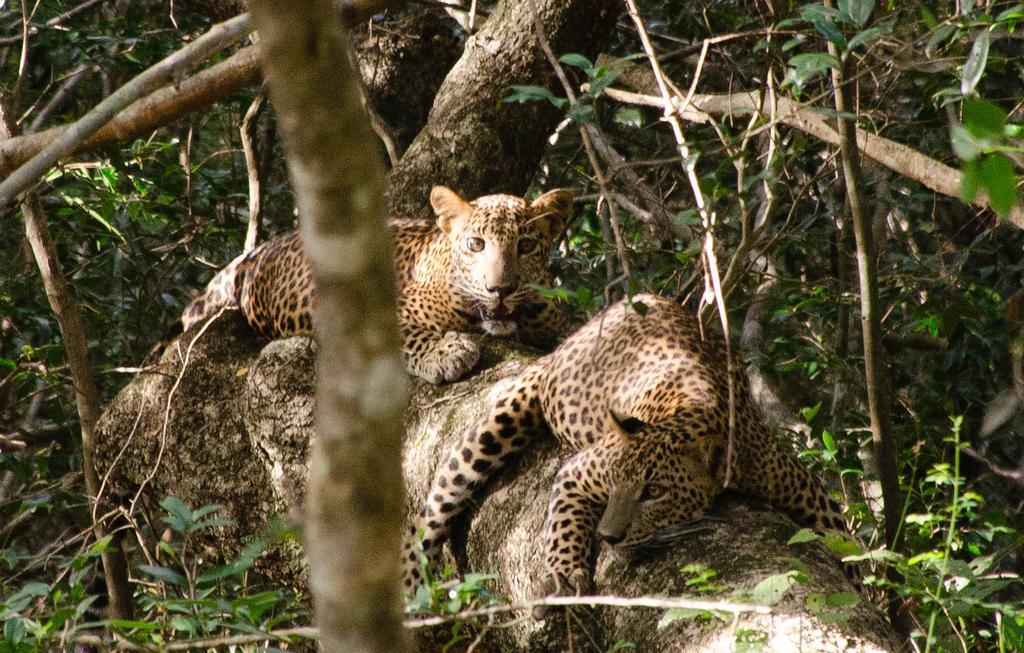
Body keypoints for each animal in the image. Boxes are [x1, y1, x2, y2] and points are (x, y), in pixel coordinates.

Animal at [403, 294, 851, 597]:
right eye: (614, 481)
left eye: (654, 492)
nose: (609, 537)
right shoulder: (580, 470)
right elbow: (564, 520)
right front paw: (565, 571)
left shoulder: (794, 481)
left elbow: (841, 536)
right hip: (492, 433)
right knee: (427, 518)